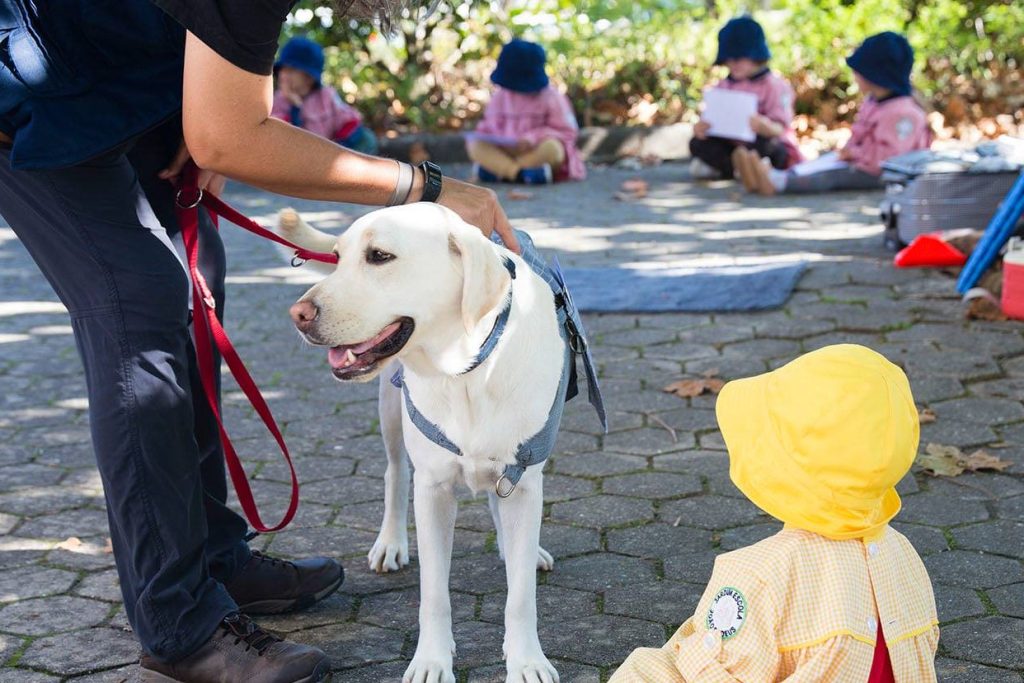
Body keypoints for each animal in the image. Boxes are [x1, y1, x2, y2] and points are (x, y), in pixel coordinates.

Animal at [280, 205, 569, 683]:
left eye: (379, 256)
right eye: (337, 257)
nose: (297, 314)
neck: (465, 370)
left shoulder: (524, 479)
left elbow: (520, 595)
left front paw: (527, 660)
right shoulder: (432, 490)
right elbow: (434, 592)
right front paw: (431, 661)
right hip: (391, 411)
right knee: (395, 472)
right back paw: (391, 541)